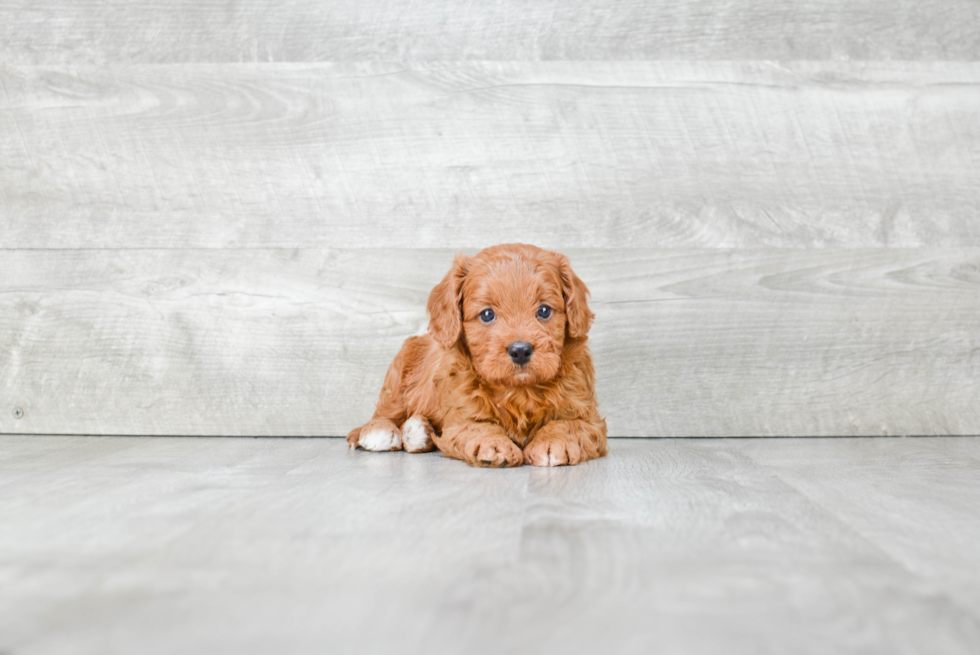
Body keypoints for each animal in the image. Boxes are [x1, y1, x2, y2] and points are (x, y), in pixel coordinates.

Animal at [344, 245, 604, 466]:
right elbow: (478, 428)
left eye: (544, 310)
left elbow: (569, 424)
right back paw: (381, 431)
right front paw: (495, 446)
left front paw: (553, 442)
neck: (519, 390)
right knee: (384, 413)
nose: (520, 350)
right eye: (487, 314)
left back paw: (419, 432)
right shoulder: (463, 413)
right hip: (398, 374)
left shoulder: (588, 415)